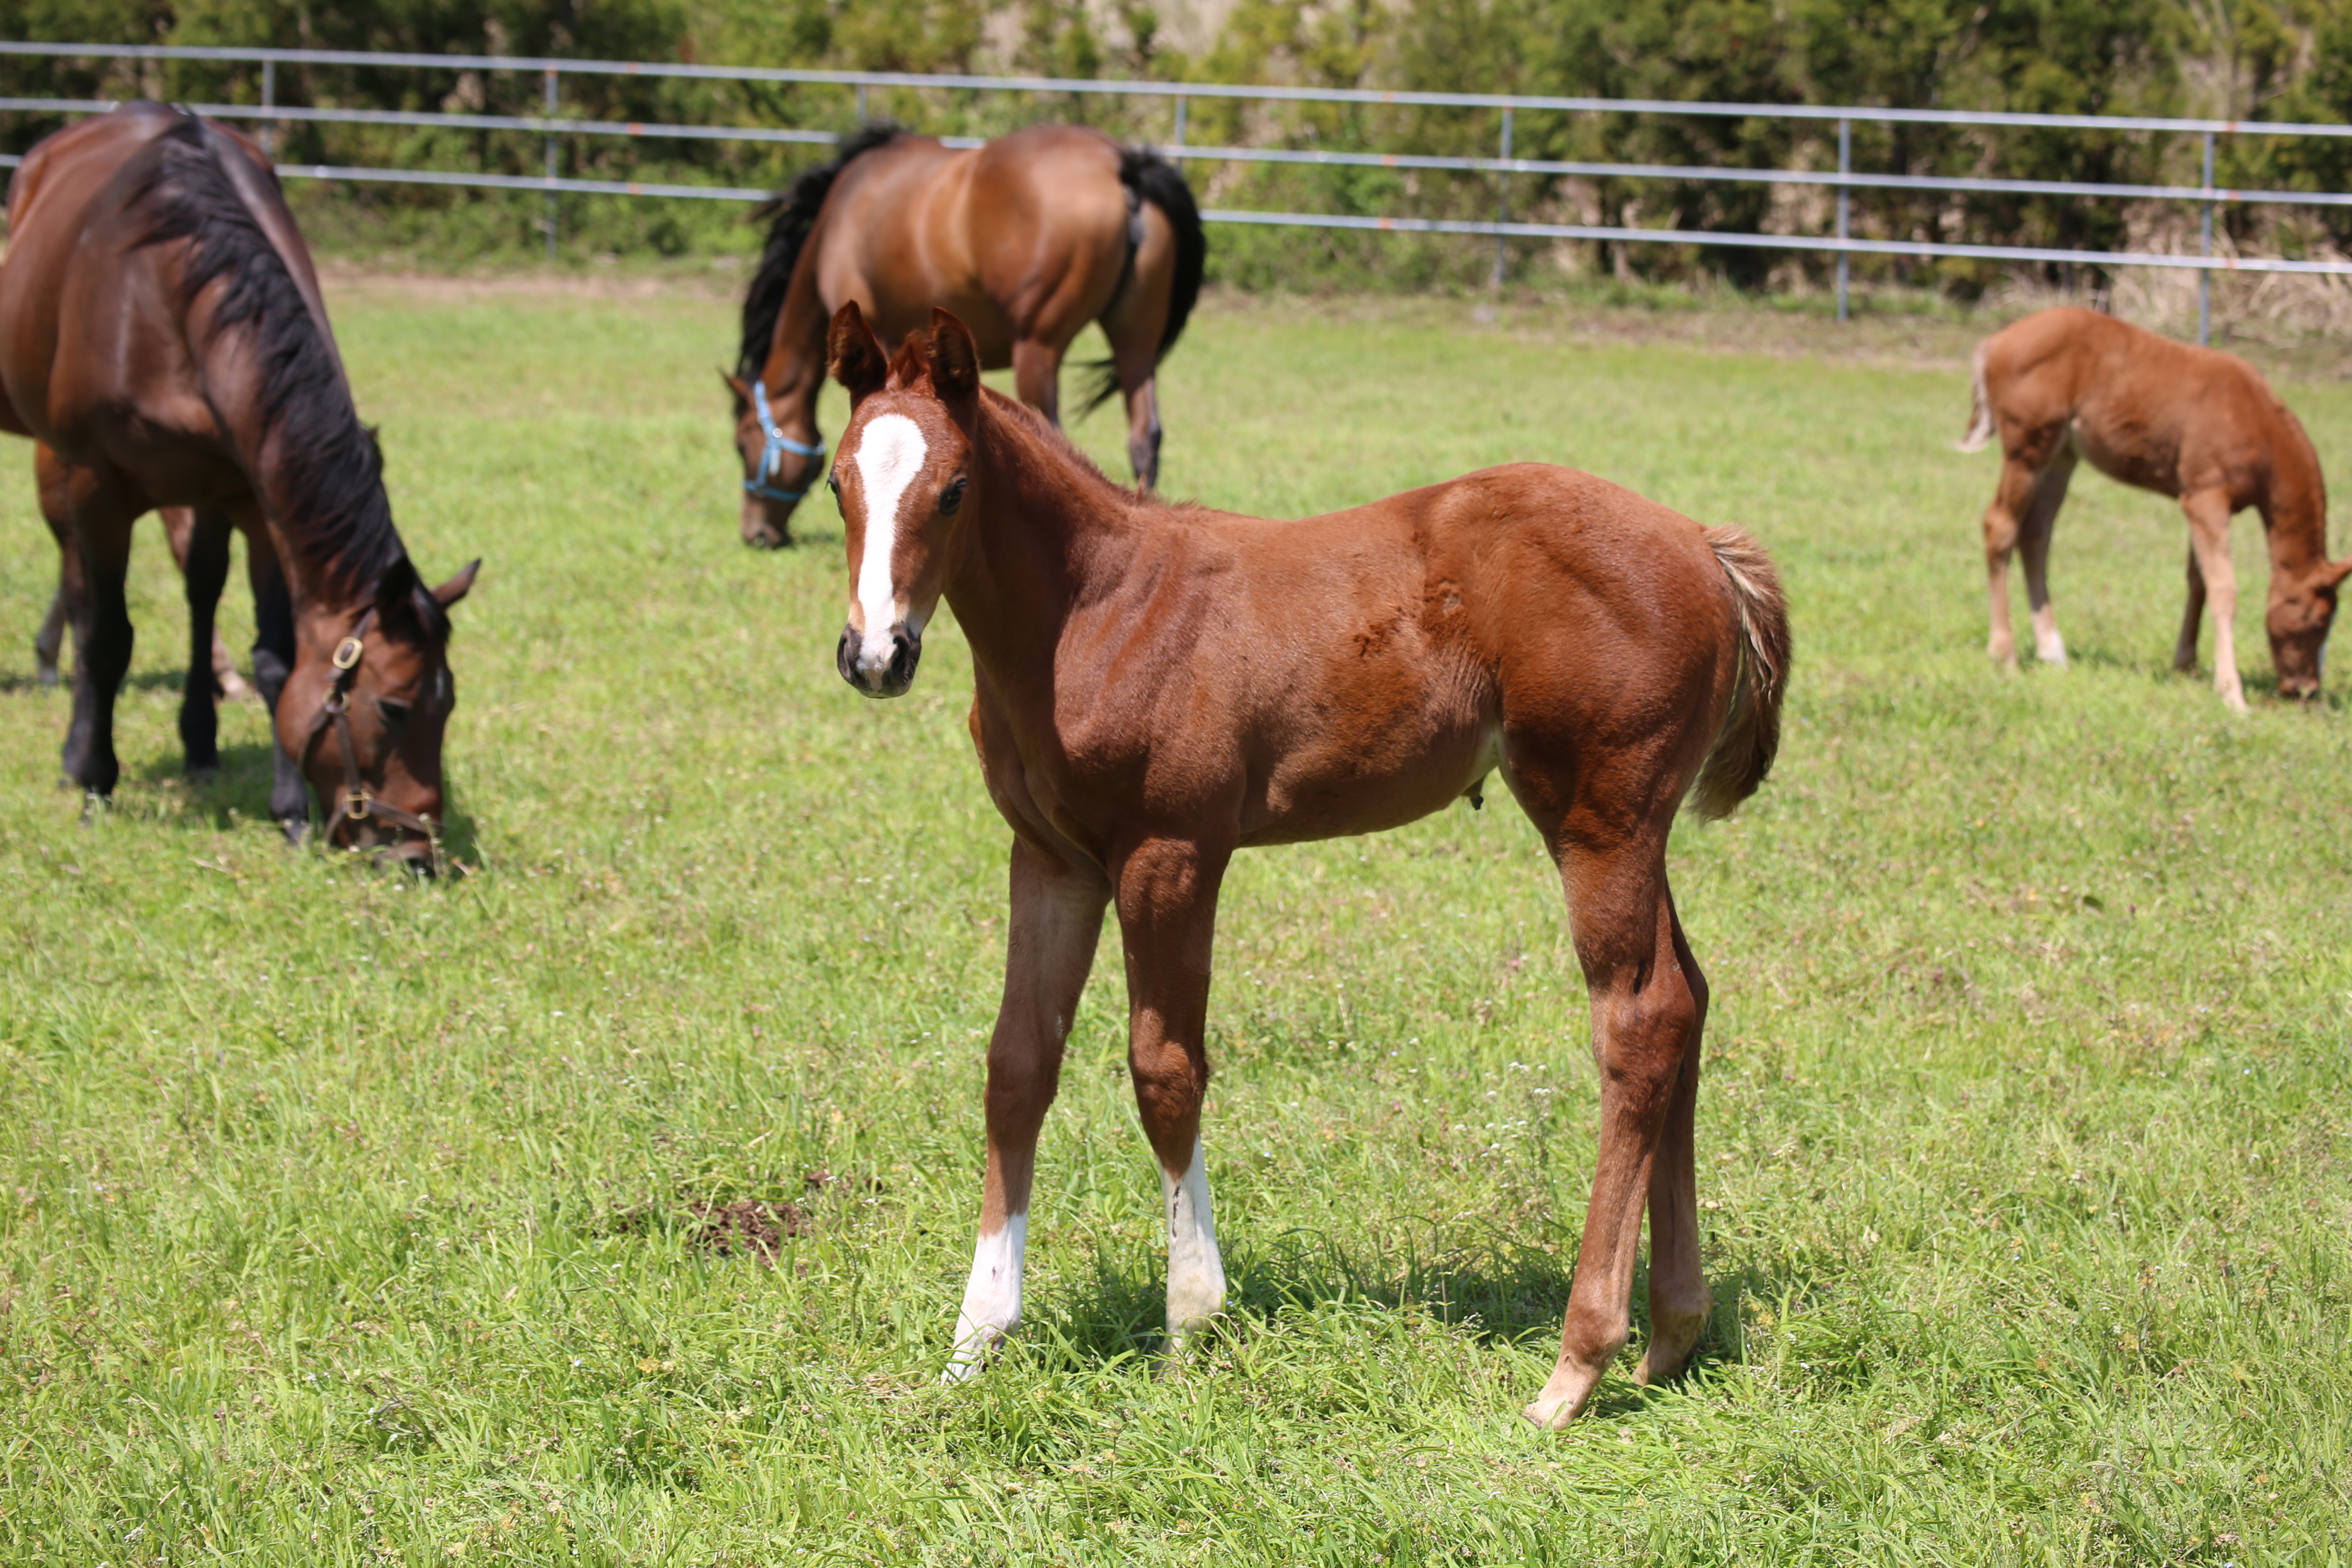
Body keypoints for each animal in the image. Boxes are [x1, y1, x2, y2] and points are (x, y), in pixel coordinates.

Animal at [724, 120, 1204, 545]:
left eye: (742, 445)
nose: (758, 534)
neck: (838, 221)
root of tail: (1122, 163)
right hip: (1135, 339)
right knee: (1145, 437)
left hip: (1038, 347)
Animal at [823, 301, 1778, 1429]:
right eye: (836, 482)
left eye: (954, 487)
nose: (875, 656)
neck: (1096, 610)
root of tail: (1703, 547)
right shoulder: (1051, 859)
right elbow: (1017, 1067)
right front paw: (976, 1340)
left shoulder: (1171, 854)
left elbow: (1164, 1070)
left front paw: (1191, 1318)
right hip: (1637, 827)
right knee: (1686, 999)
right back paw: (1671, 1334)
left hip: (1597, 820)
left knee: (1637, 1020)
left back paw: (1575, 1366)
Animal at [1947, 305, 2352, 710]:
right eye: (2317, 622)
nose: (2306, 690)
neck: (2256, 422)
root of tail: (1998, 341)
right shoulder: (2208, 499)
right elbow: (2223, 589)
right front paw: (2232, 694)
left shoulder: (2195, 498)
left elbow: (2198, 580)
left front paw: (2186, 666)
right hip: (2027, 451)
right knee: (2001, 527)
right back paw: (2005, 654)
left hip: (2062, 455)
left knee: (2035, 535)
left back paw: (2052, 651)